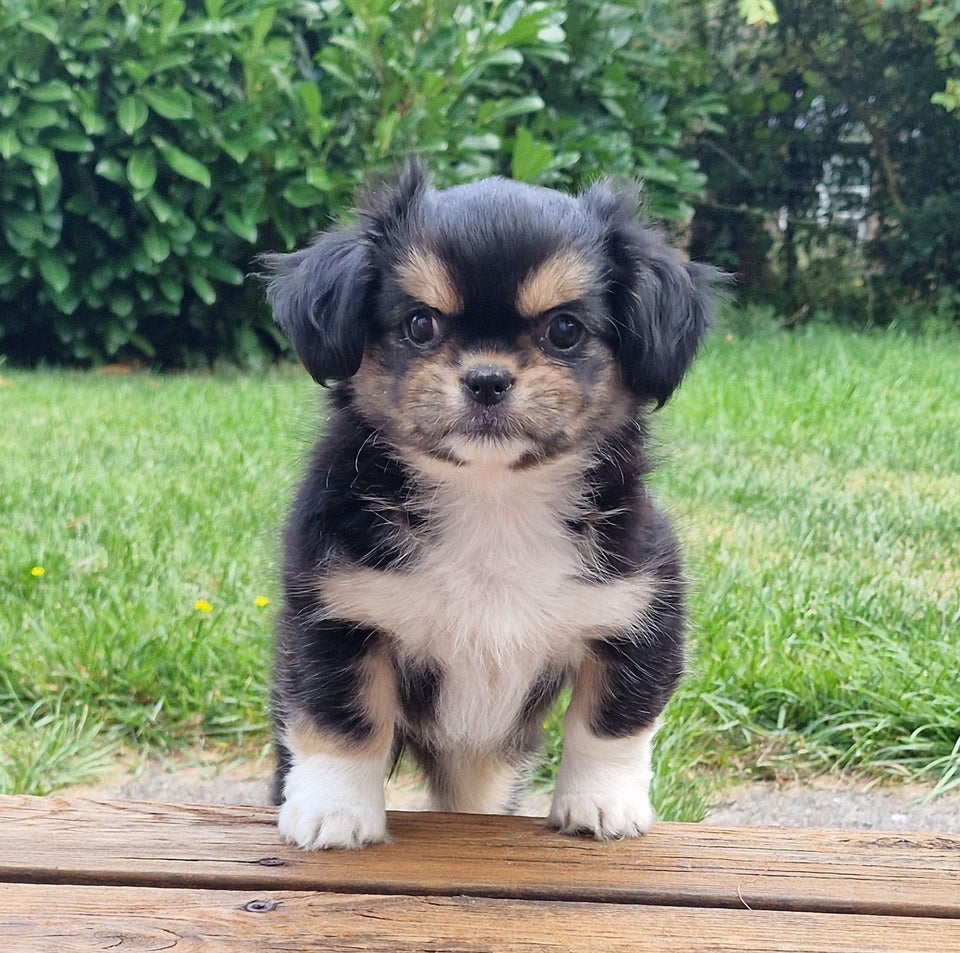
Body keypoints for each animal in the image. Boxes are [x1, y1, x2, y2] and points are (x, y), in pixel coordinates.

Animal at [266, 162, 716, 848]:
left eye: (564, 329)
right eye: (420, 324)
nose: (486, 379)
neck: (493, 499)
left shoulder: (640, 612)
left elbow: (611, 722)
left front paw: (601, 803)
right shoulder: (334, 617)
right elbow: (342, 723)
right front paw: (333, 811)